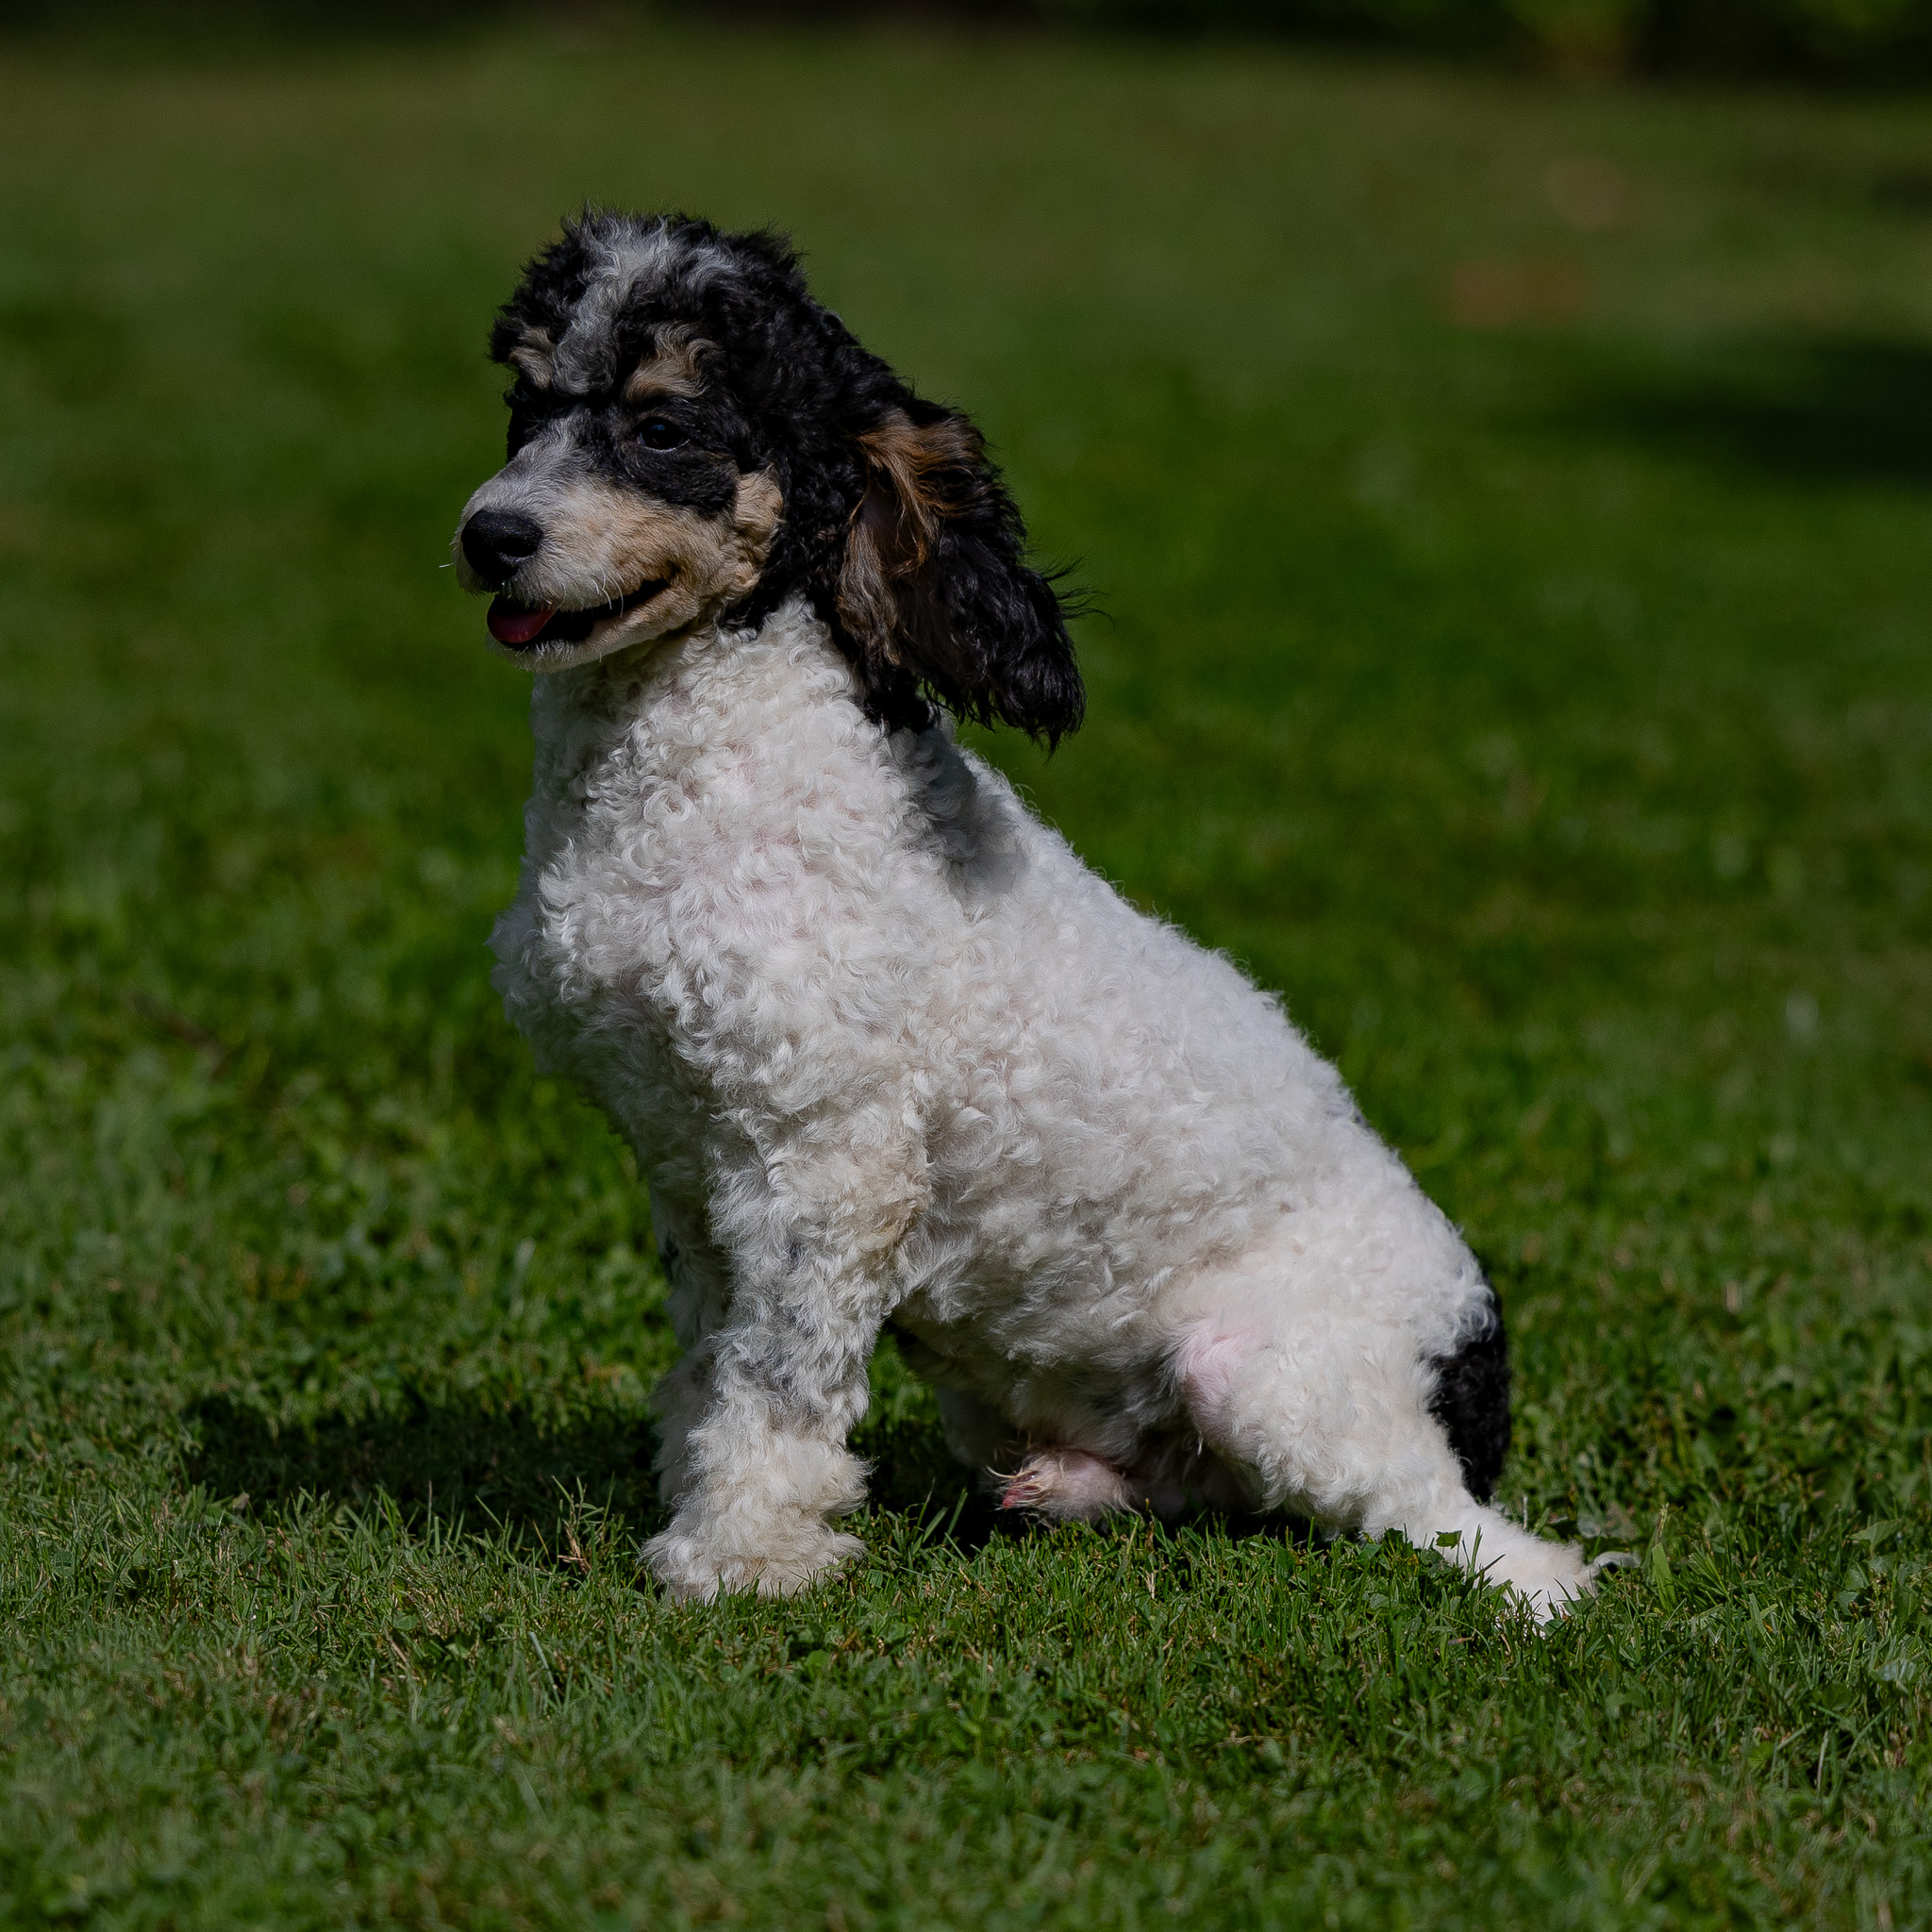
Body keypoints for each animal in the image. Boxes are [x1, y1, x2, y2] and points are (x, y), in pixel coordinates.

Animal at [452, 211, 1599, 1623]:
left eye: (662, 425)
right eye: (523, 404)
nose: (488, 535)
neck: (699, 772)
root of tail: (1479, 1365)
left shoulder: (824, 1162)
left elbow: (776, 1384)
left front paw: (741, 1555)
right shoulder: (686, 1168)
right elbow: (709, 1369)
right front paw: (696, 1495)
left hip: (1271, 1373)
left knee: (1467, 1530)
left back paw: (1536, 1585)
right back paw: (1067, 1490)